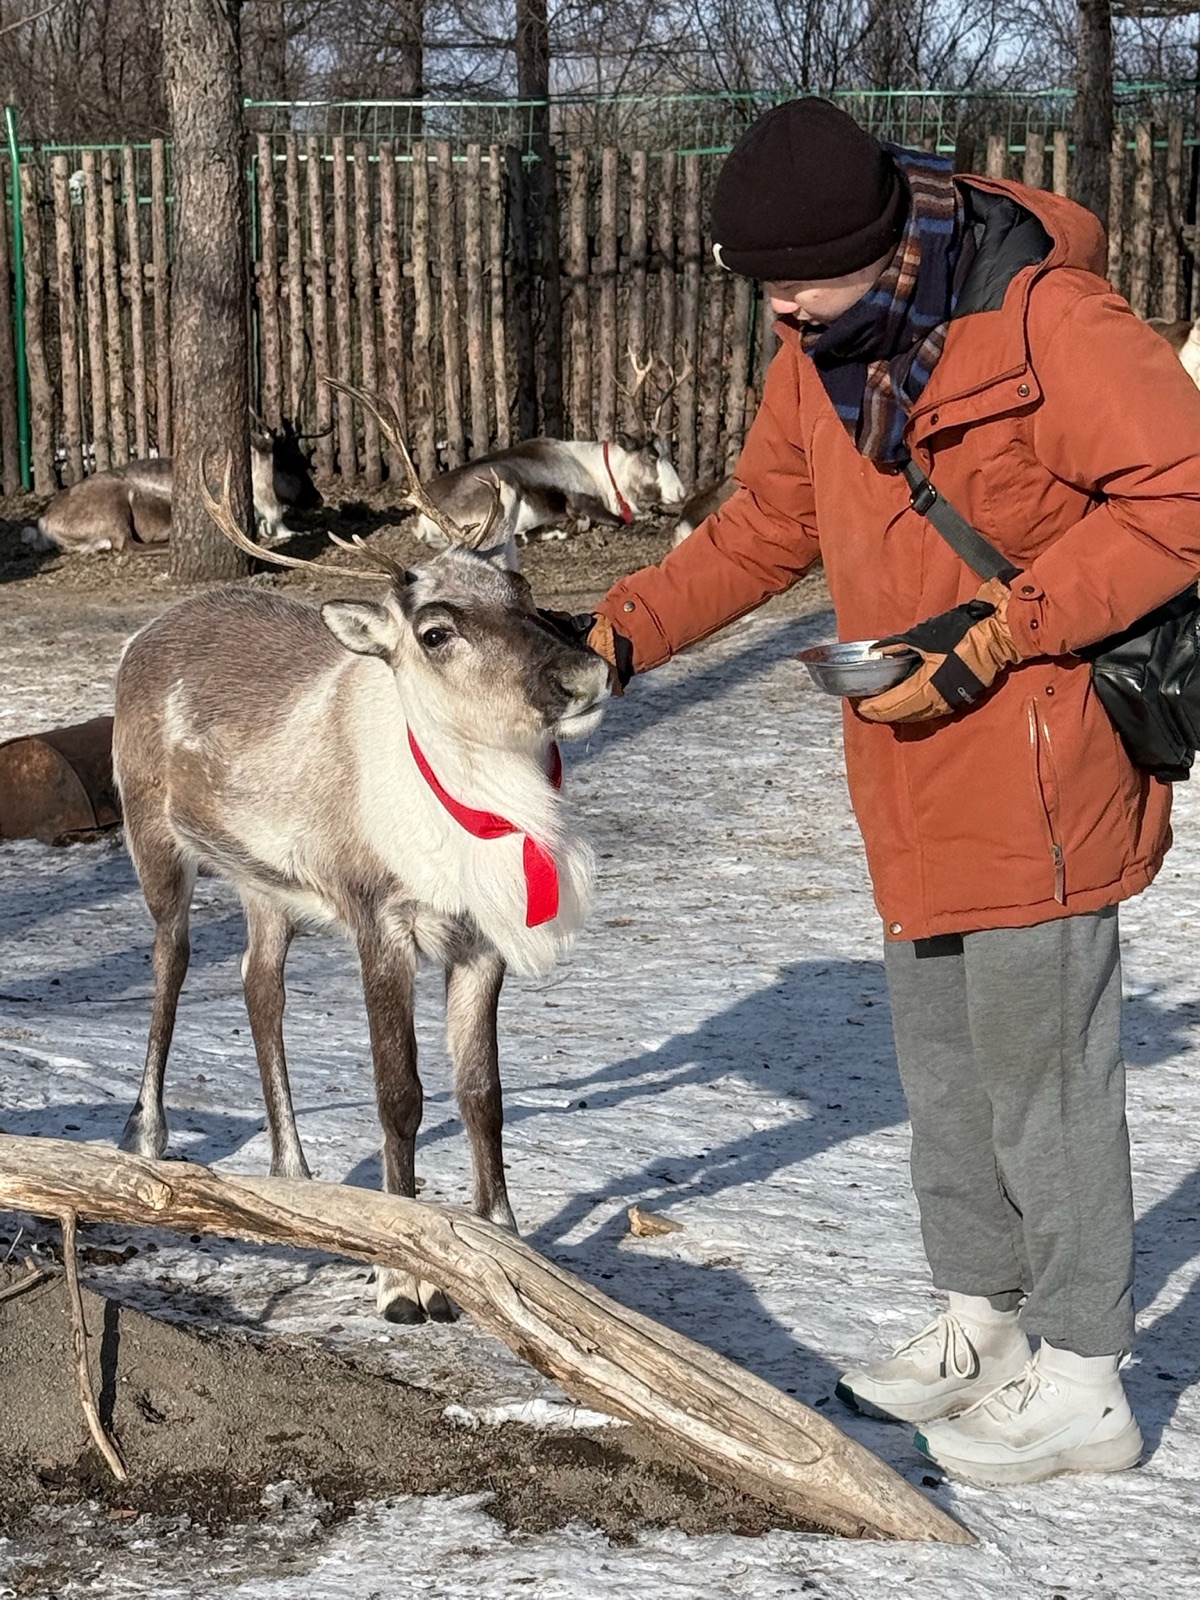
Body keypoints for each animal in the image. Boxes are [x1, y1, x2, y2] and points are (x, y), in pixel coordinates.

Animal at [24, 419, 325, 556]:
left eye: (303, 459)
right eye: (288, 462)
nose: (317, 498)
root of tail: (44, 521)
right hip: (115, 504)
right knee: (126, 544)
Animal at [112, 379, 611, 1323]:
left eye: (521, 586)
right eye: (436, 630)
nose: (586, 674)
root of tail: (148, 630)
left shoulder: (479, 940)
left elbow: (482, 1094)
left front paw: (505, 1237)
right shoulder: (381, 920)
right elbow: (400, 1091)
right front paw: (402, 1274)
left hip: (266, 885)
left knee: (259, 988)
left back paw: (294, 1172)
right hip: (154, 839)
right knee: (170, 966)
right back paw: (147, 1137)